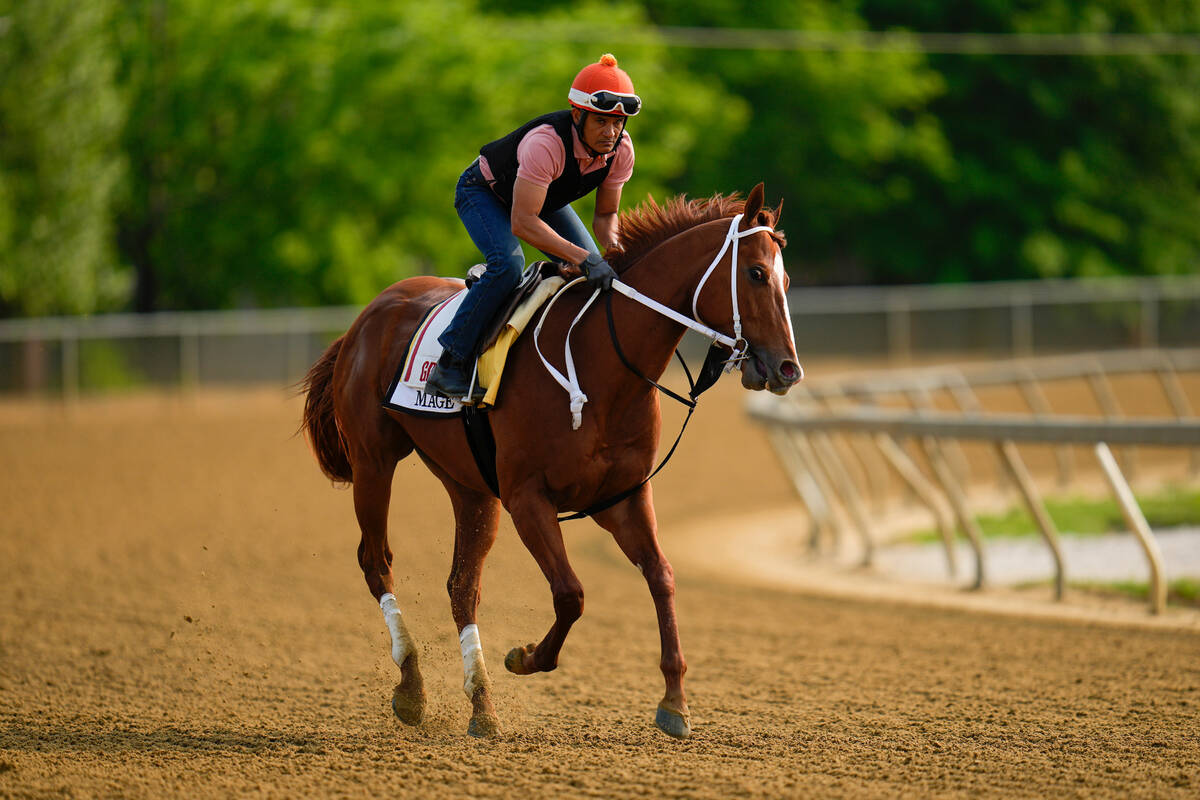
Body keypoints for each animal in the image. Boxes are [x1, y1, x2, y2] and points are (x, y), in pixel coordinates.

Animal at [304, 181, 801, 738]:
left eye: (786, 277)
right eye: (756, 273)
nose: (788, 368)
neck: (600, 362)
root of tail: (367, 316)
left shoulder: (623, 497)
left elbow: (662, 576)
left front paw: (674, 700)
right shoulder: (528, 498)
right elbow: (571, 593)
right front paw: (524, 657)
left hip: (469, 486)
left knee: (461, 587)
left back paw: (482, 705)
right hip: (374, 461)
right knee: (376, 562)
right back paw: (412, 687)